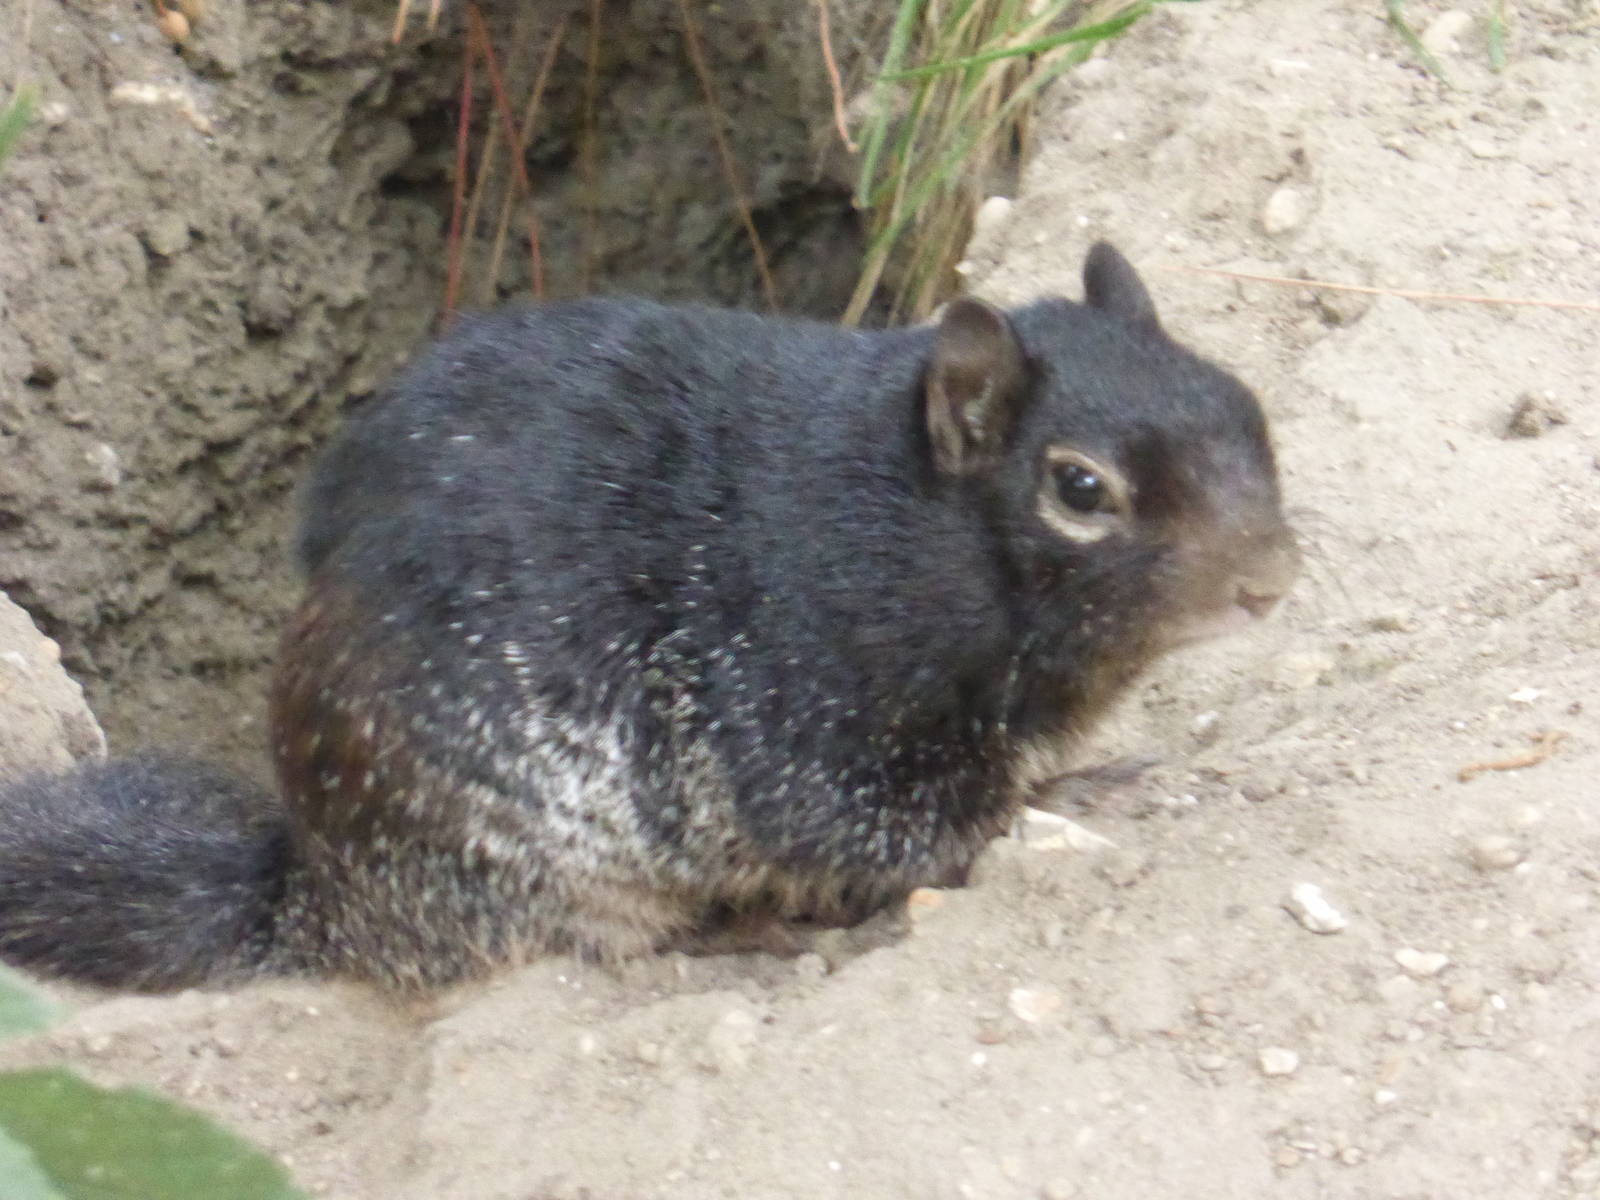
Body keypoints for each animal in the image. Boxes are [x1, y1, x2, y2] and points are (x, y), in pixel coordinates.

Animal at [0, 244, 1299, 992]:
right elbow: (906, 830)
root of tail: (319, 892)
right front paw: (1074, 792)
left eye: (1245, 401)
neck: (911, 534)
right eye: (1079, 488)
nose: (1272, 580)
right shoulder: (810, 727)